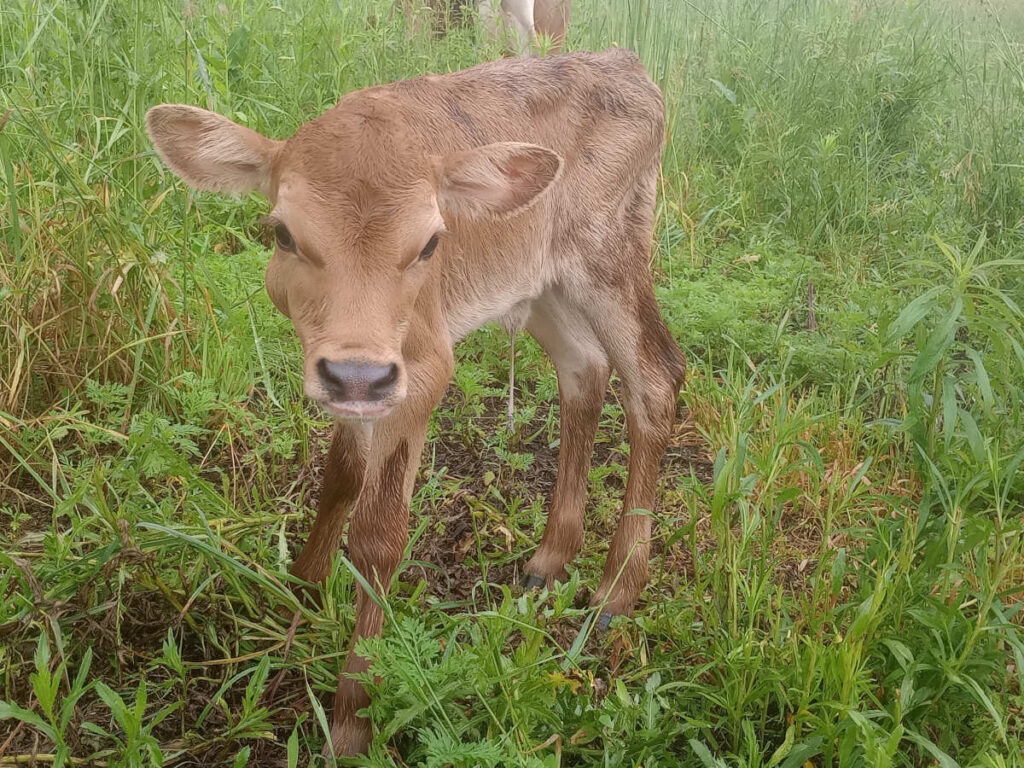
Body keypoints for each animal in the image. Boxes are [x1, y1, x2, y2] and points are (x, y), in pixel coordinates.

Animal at [145, 48, 685, 757]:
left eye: (431, 241)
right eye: (282, 233)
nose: (357, 374)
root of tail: (629, 66)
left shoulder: (423, 365)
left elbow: (380, 538)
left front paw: (352, 719)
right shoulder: (363, 376)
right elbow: (340, 474)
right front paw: (302, 590)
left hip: (610, 253)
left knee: (655, 379)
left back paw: (615, 592)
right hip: (540, 280)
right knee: (584, 369)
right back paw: (548, 559)